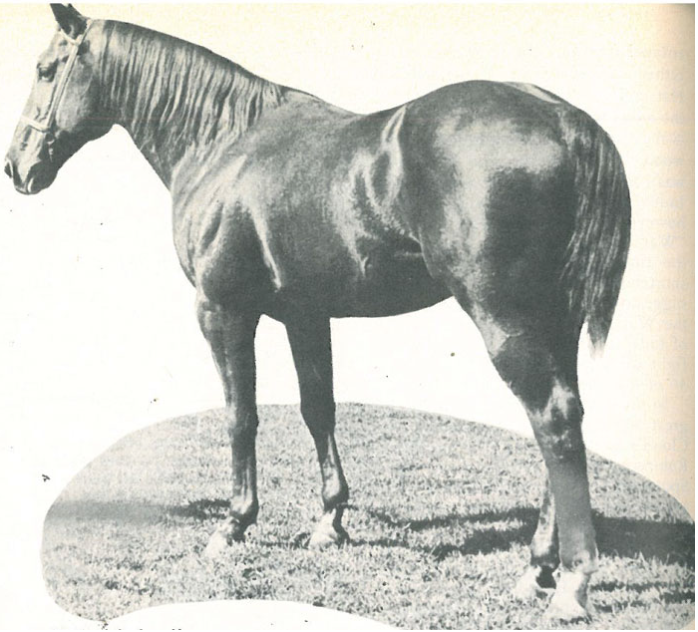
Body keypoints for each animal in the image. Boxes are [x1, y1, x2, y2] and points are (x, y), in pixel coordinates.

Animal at [5, 5, 630, 621]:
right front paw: (329, 523)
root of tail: (566, 121)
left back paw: (571, 584)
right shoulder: (304, 315)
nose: (16, 166)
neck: (223, 145)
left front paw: (233, 525)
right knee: (564, 420)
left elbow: (240, 416)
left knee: (551, 420)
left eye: (45, 70)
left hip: (504, 317)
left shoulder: (222, 310)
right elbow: (318, 409)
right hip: (555, 321)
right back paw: (539, 569)